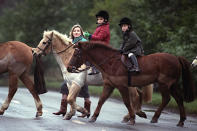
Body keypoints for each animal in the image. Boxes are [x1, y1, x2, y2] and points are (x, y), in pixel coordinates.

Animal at [67, 41, 195, 126]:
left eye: (76, 54)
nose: (68, 68)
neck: (111, 62)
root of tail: (176, 58)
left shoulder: (122, 86)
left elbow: (127, 102)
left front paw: (132, 118)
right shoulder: (109, 85)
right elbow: (101, 100)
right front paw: (93, 117)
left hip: (164, 84)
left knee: (166, 99)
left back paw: (154, 117)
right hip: (172, 85)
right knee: (179, 99)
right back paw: (181, 121)